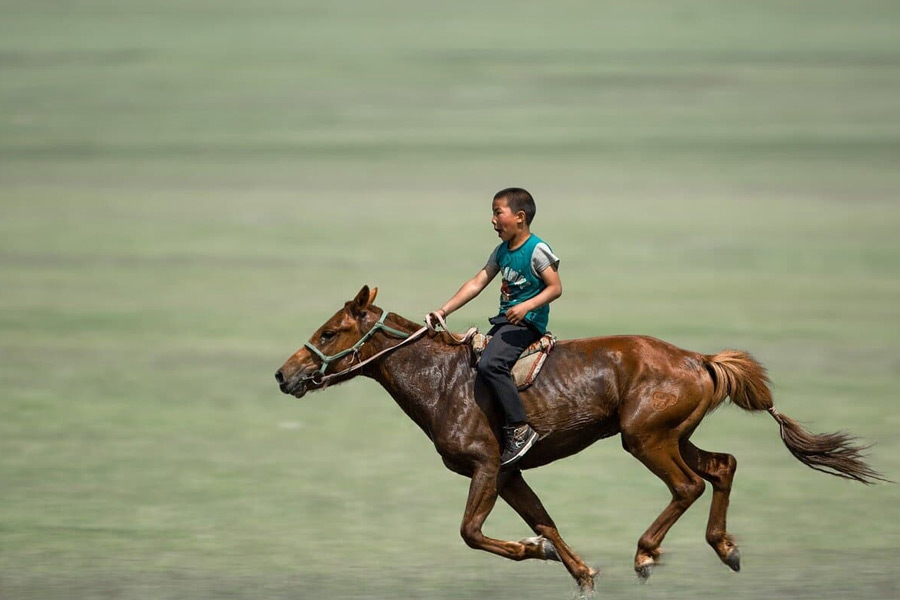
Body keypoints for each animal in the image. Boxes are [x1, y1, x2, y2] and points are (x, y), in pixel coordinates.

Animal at [274, 285, 883, 593]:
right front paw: (581, 572)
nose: (284, 375)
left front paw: (536, 552)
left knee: (688, 485)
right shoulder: (511, 473)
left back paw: (646, 554)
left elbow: (472, 532)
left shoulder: (487, 467)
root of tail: (700, 360)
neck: (443, 381)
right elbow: (545, 520)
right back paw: (726, 549)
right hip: (671, 434)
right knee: (723, 466)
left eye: (331, 331)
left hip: (644, 439)